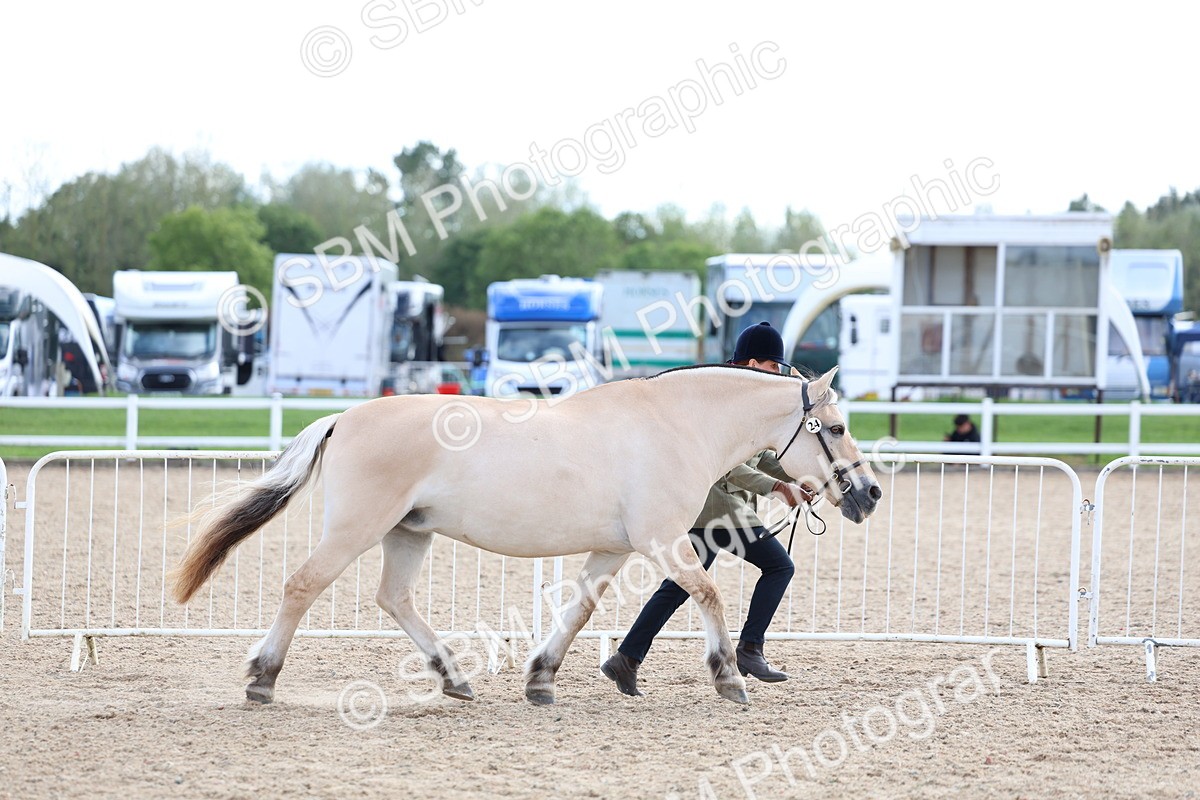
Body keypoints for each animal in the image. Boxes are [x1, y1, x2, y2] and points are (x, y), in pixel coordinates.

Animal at [169, 364, 882, 706]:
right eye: (838, 428)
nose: (869, 494)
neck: (674, 424)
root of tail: (344, 417)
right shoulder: (661, 541)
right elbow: (706, 595)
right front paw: (730, 678)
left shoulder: (615, 548)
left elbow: (579, 610)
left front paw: (541, 679)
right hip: (357, 528)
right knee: (303, 585)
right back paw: (262, 678)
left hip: (407, 533)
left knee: (394, 599)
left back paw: (454, 677)